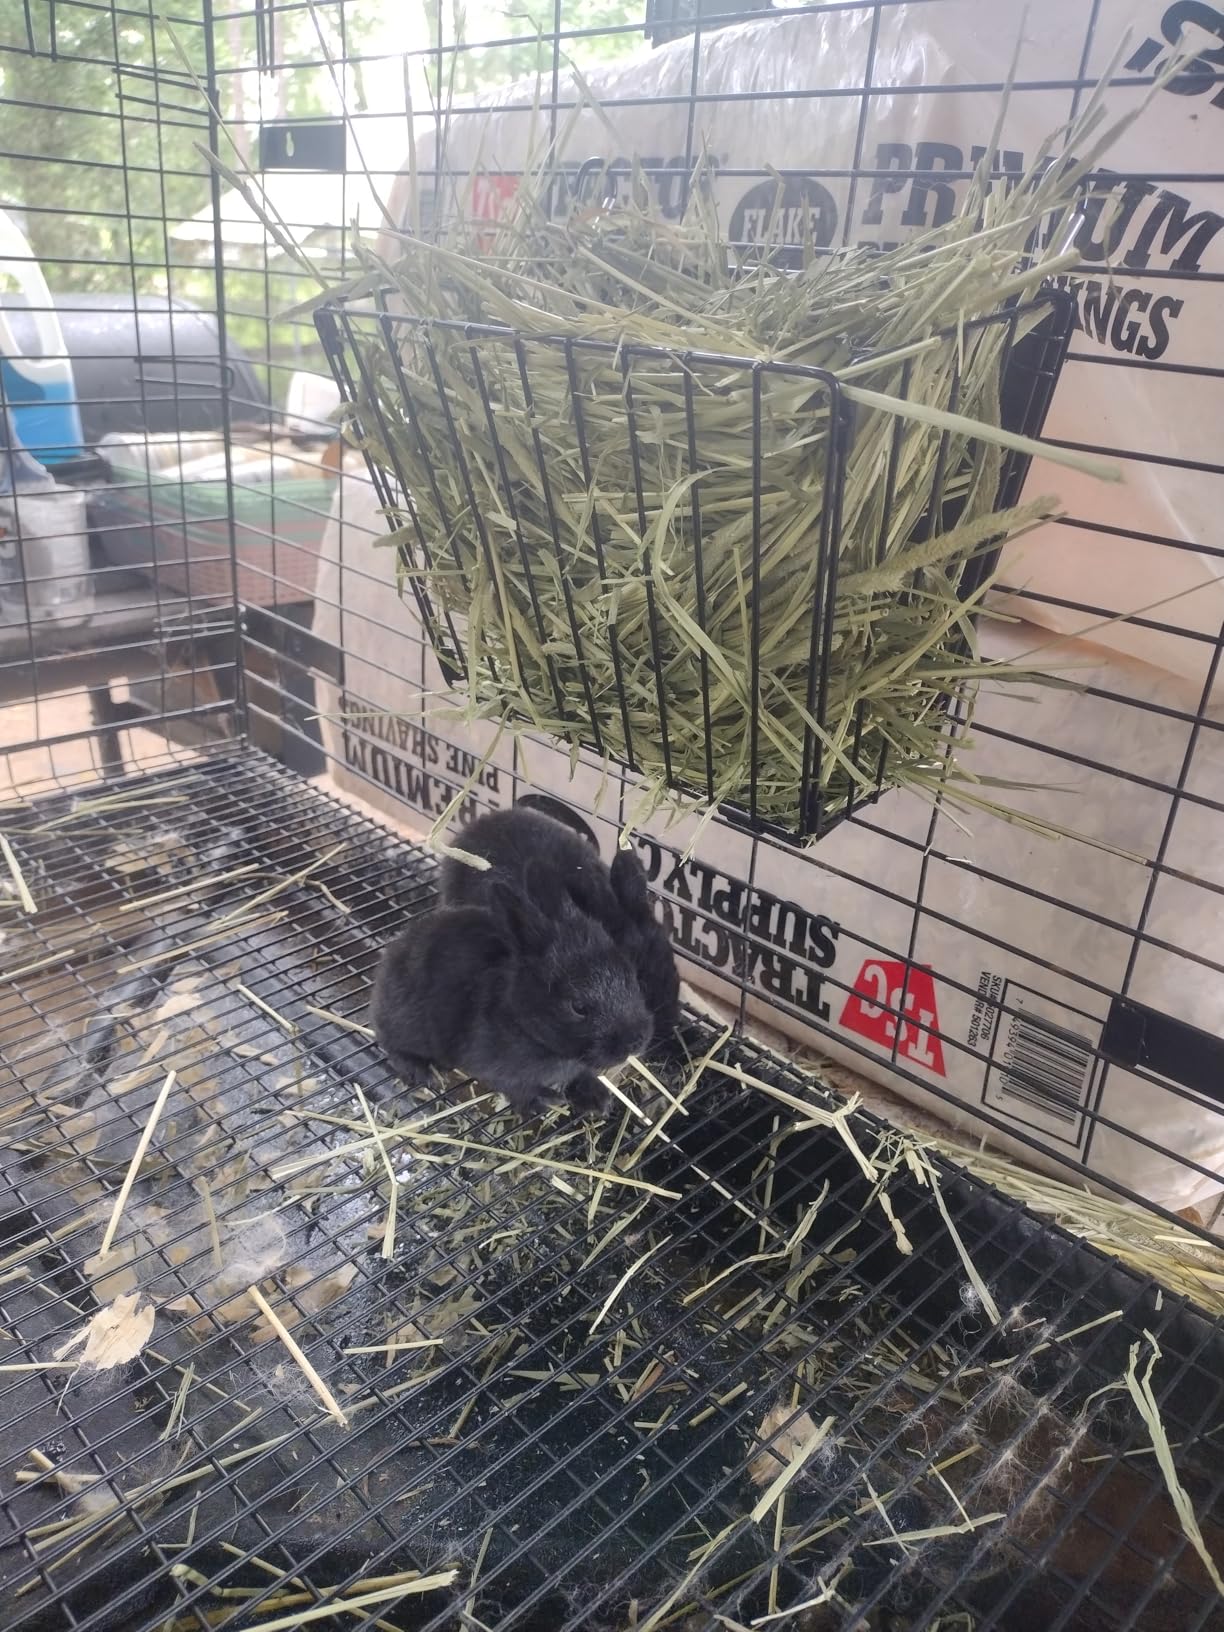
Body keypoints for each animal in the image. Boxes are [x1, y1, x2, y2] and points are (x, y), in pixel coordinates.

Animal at [370, 879, 652, 1117]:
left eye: (631, 975)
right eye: (578, 1006)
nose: (636, 1041)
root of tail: (394, 952)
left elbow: (581, 1075)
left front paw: (598, 1099)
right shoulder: (494, 1067)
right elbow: (517, 1087)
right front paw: (545, 1100)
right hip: (406, 1025)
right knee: (391, 1045)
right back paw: (425, 1071)